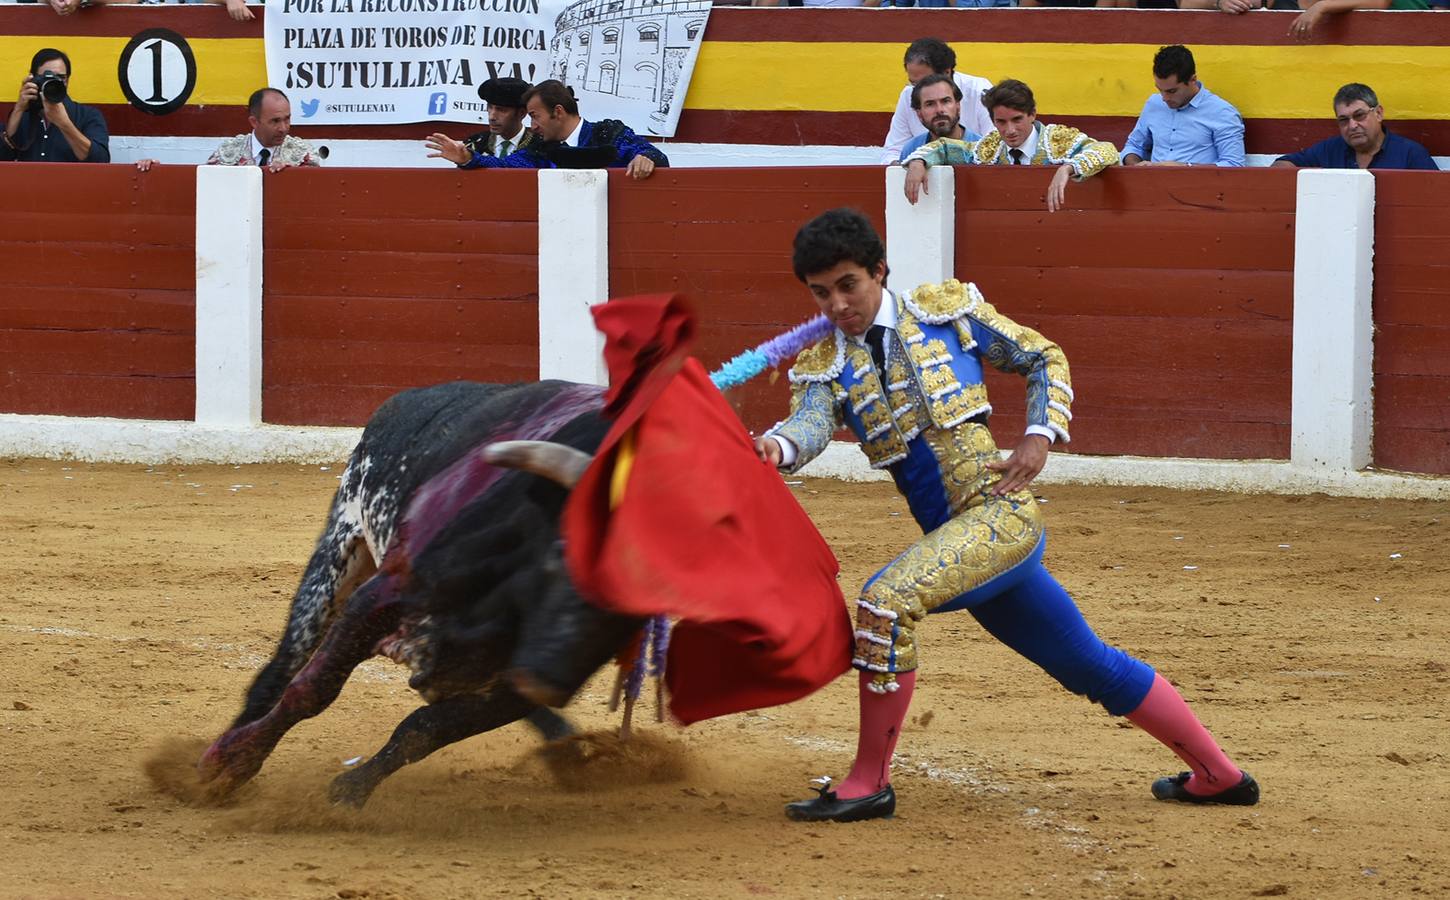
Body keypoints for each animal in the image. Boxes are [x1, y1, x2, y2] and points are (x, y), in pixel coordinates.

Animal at [195, 379, 643, 805]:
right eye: (561, 557)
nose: (546, 683)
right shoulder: (378, 600)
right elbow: (312, 691)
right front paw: (229, 765)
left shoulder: (513, 683)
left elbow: (424, 730)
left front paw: (348, 793)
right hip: (336, 557)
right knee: (282, 669)